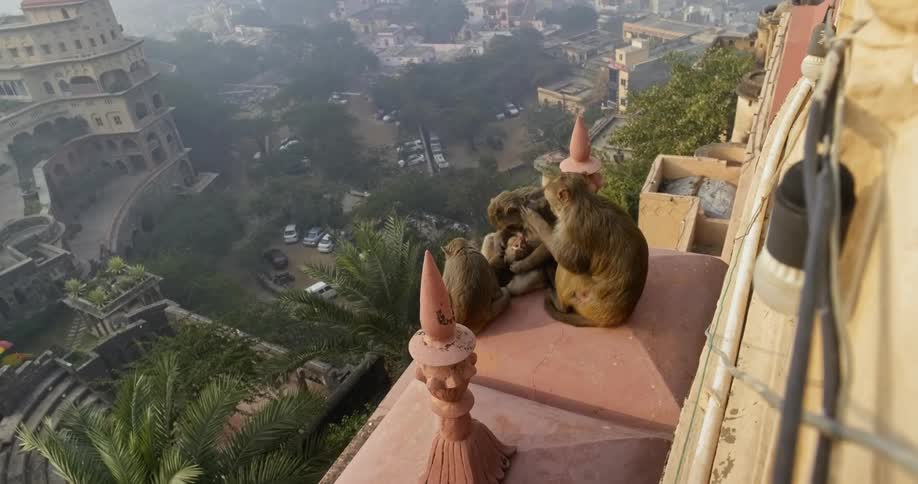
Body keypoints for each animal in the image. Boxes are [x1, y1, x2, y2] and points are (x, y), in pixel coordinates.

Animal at [522, 173, 649, 328]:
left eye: (547, 195)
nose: (548, 205)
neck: (582, 200)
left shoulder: (574, 226)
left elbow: (570, 261)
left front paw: (534, 220)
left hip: (584, 297)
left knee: (569, 270)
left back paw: (560, 305)